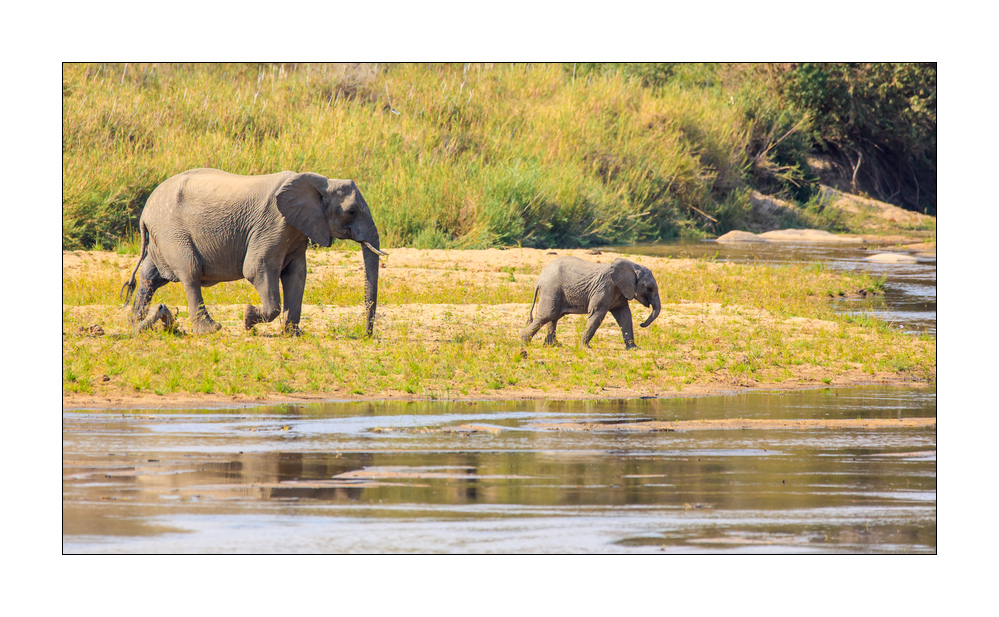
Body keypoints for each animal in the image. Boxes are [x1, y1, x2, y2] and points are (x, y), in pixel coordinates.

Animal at [121, 168, 386, 336]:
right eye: (351, 211)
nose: (367, 334)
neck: (320, 182)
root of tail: (145, 212)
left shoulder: (296, 229)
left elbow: (297, 275)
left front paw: (293, 334)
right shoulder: (273, 223)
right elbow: (257, 269)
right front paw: (248, 318)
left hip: (161, 236)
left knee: (151, 276)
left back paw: (135, 321)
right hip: (173, 231)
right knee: (190, 274)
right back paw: (210, 330)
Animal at [520, 256, 661, 349]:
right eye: (649, 288)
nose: (642, 324)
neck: (632, 266)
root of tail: (539, 279)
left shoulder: (619, 291)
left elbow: (624, 316)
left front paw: (634, 348)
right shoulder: (605, 288)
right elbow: (597, 314)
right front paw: (585, 348)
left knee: (553, 317)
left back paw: (553, 345)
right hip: (551, 289)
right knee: (548, 315)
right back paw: (524, 340)